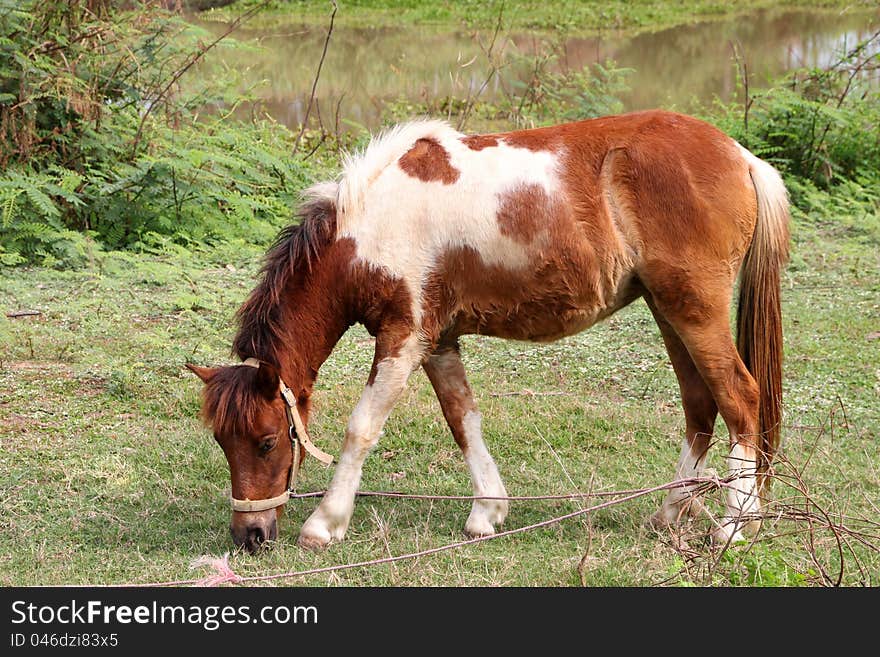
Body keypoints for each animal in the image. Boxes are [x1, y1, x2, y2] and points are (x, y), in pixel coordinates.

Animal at [186, 110, 792, 552]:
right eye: (221, 441)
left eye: (267, 441)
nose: (250, 536)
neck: (369, 228)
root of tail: (740, 156)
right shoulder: (437, 341)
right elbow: (463, 419)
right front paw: (487, 512)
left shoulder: (402, 338)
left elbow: (362, 428)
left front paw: (324, 523)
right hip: (670, 311)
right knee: (701, 407)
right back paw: (668, 513)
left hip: (695, 312)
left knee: (740, 399)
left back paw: (735, 527)